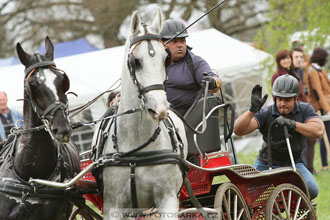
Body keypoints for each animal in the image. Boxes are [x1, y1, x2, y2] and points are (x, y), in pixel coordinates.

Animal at [95, 7, 187, 219]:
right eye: (136, 62)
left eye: (165, 59)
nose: (160, 108)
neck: (136, 151)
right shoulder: (113, 206)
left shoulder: (168, 199)